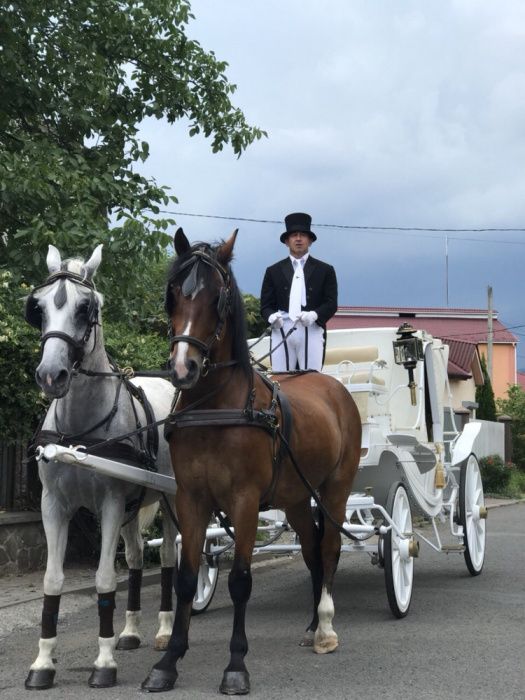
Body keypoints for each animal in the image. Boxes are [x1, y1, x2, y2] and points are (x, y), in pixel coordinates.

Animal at [23, 245, 178, 688]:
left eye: (85, 307)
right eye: (38, 307)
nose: (50, 375)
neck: (79, 436)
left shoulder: (109, 503)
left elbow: (105, 578)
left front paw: (104, 662)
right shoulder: (54, 505)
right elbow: (52, 580)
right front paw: (43, 663)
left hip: (171, 499)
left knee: (170, 557)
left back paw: (164, 629)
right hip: (132, 506)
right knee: (139, 557)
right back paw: (130, 631)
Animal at [139, 230, 360, 696]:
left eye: (217, 297)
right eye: (173, 294)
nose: (183, 369)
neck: (213, 407)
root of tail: (333, 386)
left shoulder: (243, 502)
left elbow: (240, 580)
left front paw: (236, 665)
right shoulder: (191, 499)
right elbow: (186, 579)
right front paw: (168, 662)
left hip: (335, 489)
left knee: (330, 547)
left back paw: (326, 628)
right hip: (296, 499)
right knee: (312, 551)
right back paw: (311, 626)